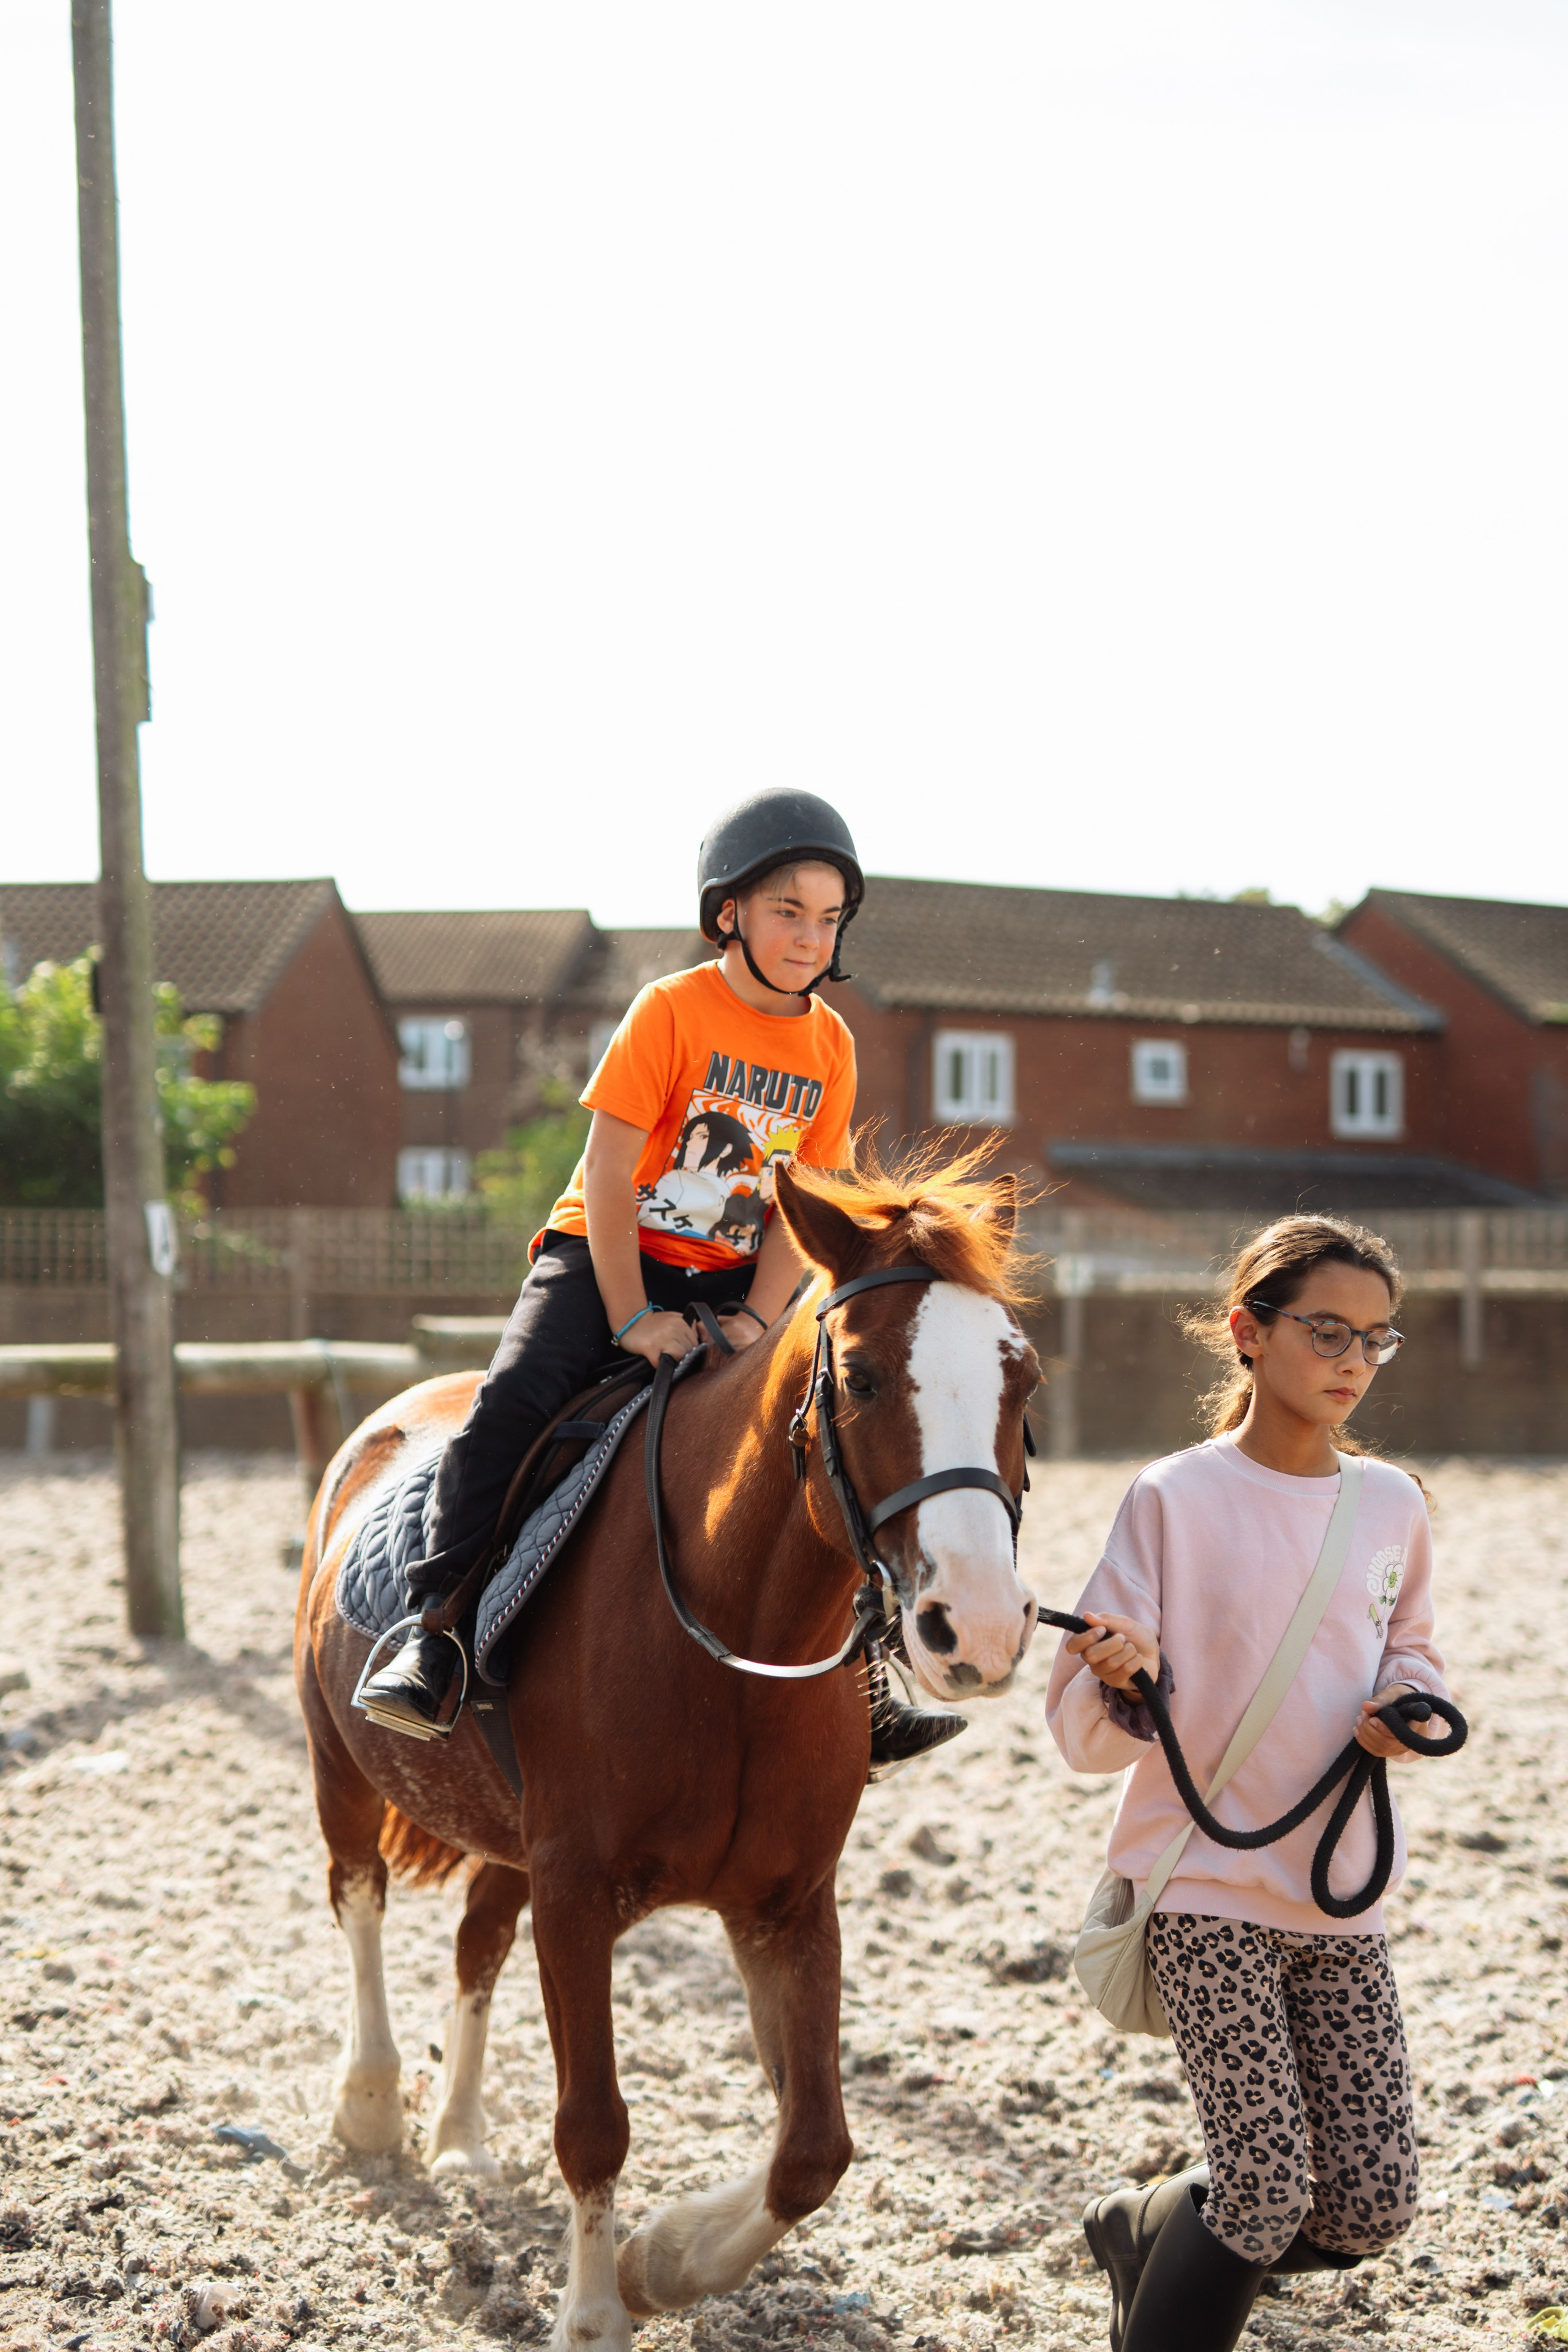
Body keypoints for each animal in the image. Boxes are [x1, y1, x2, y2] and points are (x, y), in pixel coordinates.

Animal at [294, 1147, 1040, 2352]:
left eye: (1025, 1383)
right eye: (864, 1378)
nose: (974, 1628)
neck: (731, 1647)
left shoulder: (787, 1903)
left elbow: (814, 2147)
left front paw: (666, 2262)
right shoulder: (577, 1893)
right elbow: (594, 2123)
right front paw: (598, 2311)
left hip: (508, 1840)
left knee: (474, 1945)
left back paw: (461, 2136)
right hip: (341, 1766)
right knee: (357, 1897)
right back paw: (370, 2105)